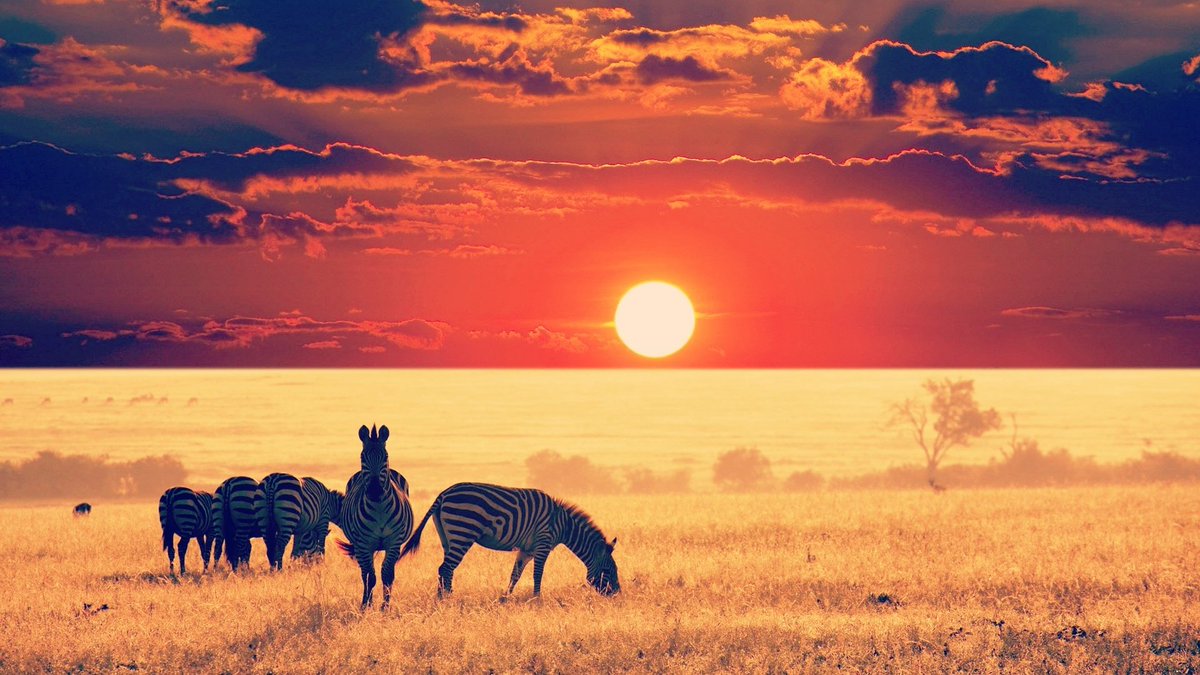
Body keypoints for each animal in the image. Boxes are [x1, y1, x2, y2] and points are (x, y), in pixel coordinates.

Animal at [336, 424, 413, 609]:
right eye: (362, 457)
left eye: (385, 456)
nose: (375, 490)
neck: (379, 508)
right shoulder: (364, 544)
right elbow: (370, 577)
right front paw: (367, 606)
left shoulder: (394, 542)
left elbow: (387, 574)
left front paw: (385, 607)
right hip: (361, 546)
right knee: (364, 573)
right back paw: (366, 601)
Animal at [399, 482, 620, 598]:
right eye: (608, 570)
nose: (617, 594)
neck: (563, 525)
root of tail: (444, 493)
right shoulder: (543, 543)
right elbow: (537, 574)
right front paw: (537, 600)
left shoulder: (527, 549)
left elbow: (515, 574)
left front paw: (505, 599)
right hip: (462, 531)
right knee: (446, 568)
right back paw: (446, 600)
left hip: (447, 537)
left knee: (445, 568)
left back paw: (443, 597)